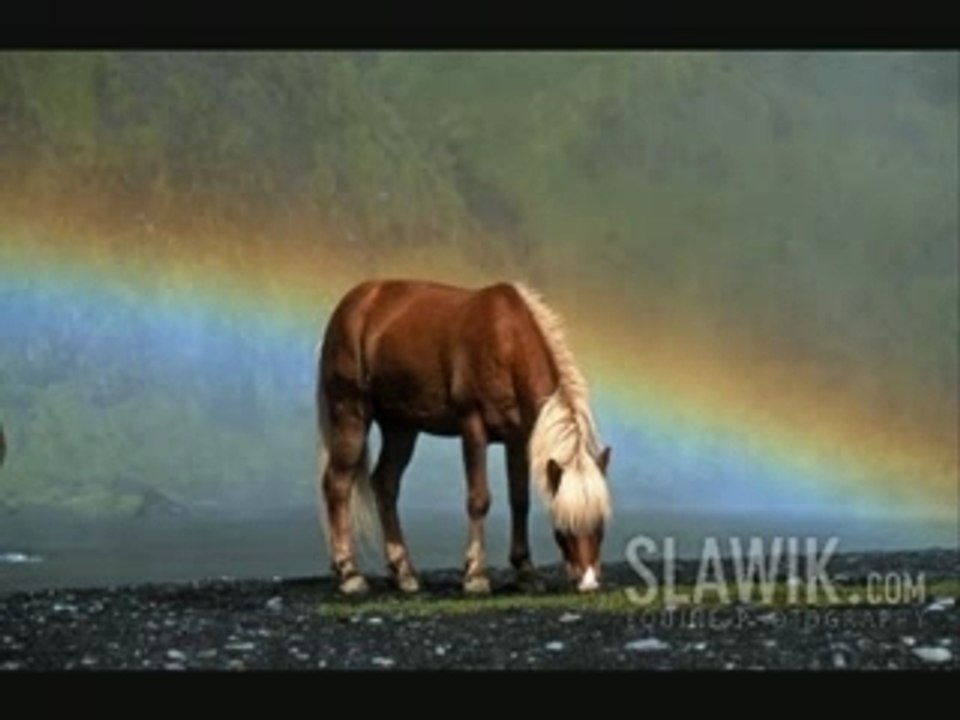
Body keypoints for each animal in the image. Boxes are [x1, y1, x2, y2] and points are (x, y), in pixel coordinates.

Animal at [314, 279, 612, 596]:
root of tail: (355, 301)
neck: (506, 341)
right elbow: (479, 499)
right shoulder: (473, 428)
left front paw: (526, 572)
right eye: (564, 525)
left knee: (385, 484)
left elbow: (520, 501)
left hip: (401, 427)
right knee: (337, 485)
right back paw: (349, 573)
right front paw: (475, 575)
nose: (589, 582)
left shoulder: (518, 439)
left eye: (600, 523)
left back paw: (404, 573)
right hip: (351, 413)